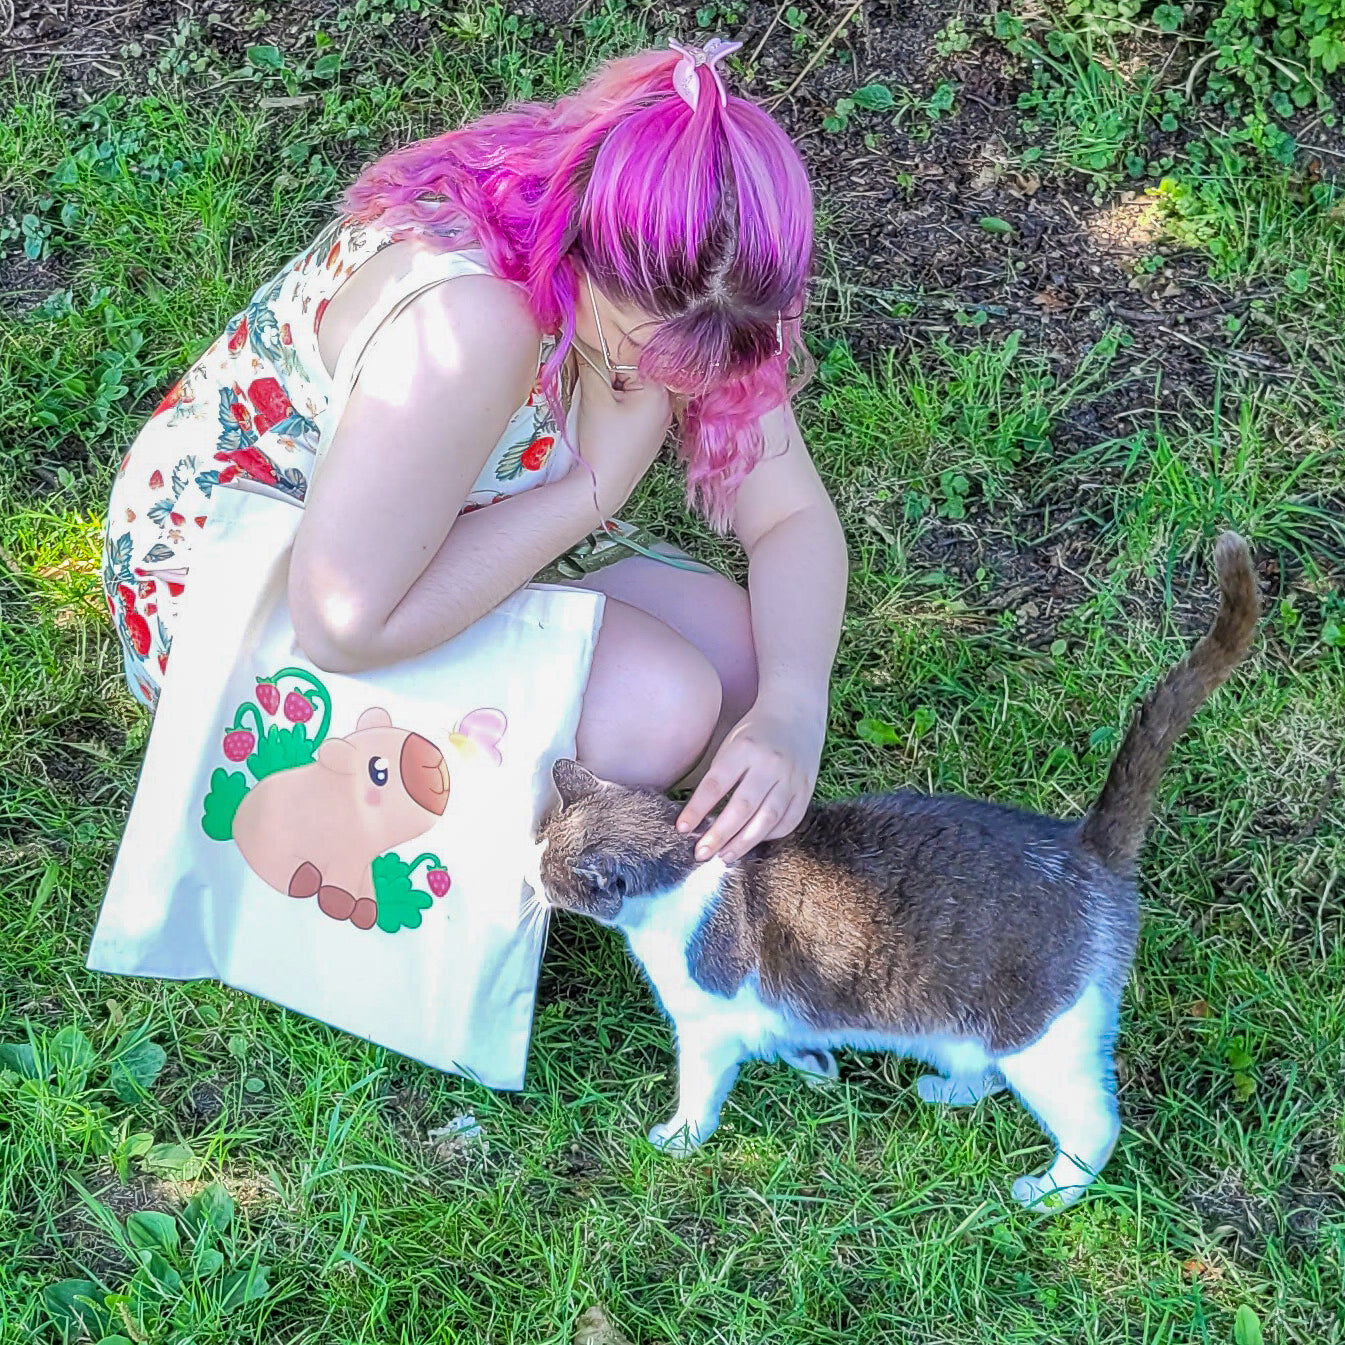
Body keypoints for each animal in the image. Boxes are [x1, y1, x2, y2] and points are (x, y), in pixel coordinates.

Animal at [527, 527, 1258, 1210]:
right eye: (538, 846)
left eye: (544, 871)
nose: (526, 879)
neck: (685, 871)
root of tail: (1085, 845)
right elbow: (790, 1032)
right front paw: (812, 1061)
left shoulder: (708, 1023)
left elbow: (700, 1090)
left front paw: (677, 1138)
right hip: (966, 1026)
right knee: (985, 1069)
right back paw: (944, 1088)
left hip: (1042, 1032)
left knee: (1092, 1122)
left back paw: (1049, 1189)